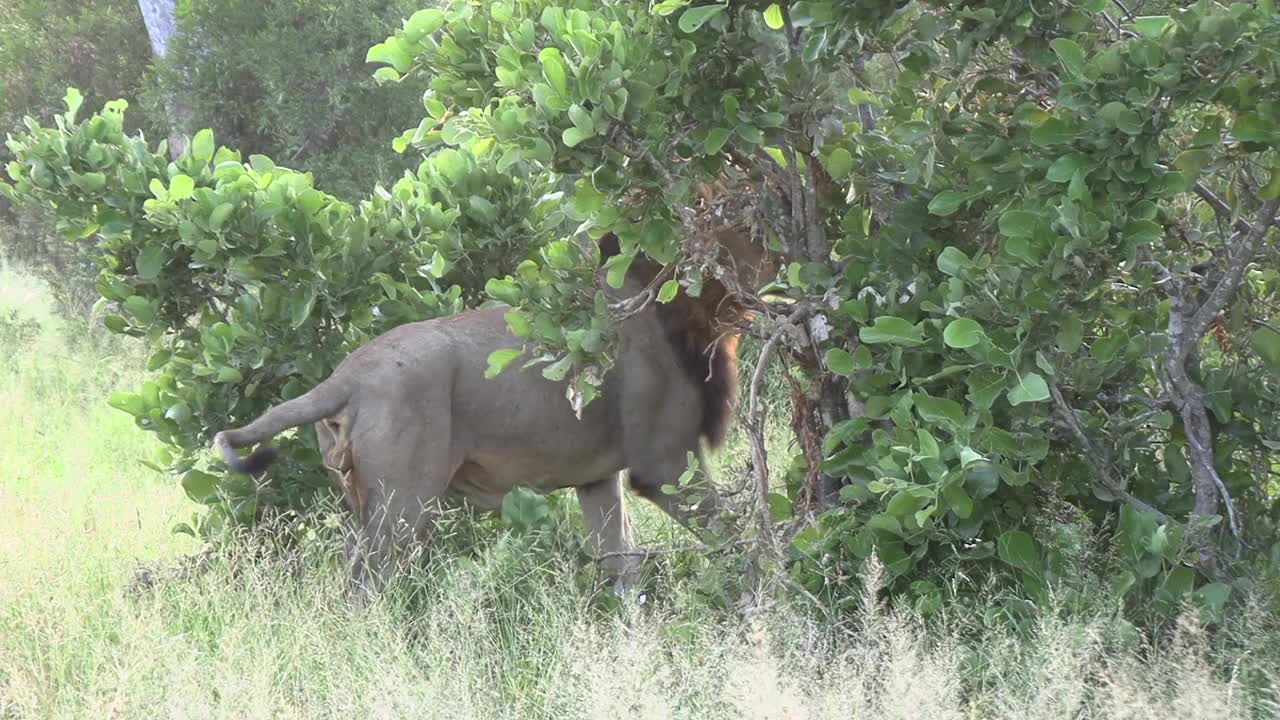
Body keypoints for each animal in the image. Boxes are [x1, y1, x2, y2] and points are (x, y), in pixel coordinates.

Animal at [213, 228, 773, 594]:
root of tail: (343, 377)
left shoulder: (598, 480)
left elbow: (621, 565)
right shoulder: (664, 465)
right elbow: (737, 539)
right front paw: (761, 597)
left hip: (360, 502)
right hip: (404, 505)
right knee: (365, 588)